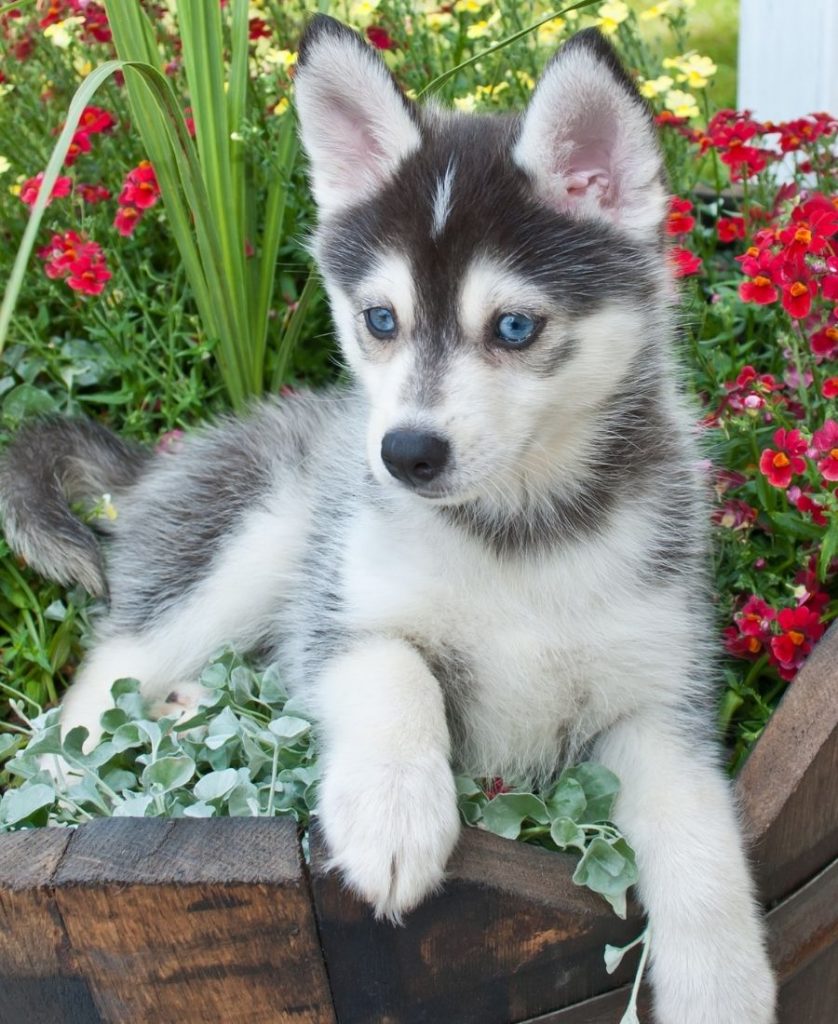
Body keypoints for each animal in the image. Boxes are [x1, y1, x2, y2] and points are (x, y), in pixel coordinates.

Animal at [0, 18, 770, 1024]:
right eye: (379, 319)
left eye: (514, 327)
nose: (404, 454)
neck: (515, 536)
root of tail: (165, 457)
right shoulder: (339, 613)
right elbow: (392, 667)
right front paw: (393, 817)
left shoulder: (657, 699)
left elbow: (700, 831)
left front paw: (724, 981)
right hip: (259, 534)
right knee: (101, 681)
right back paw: (67, 780)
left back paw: (189, 710)